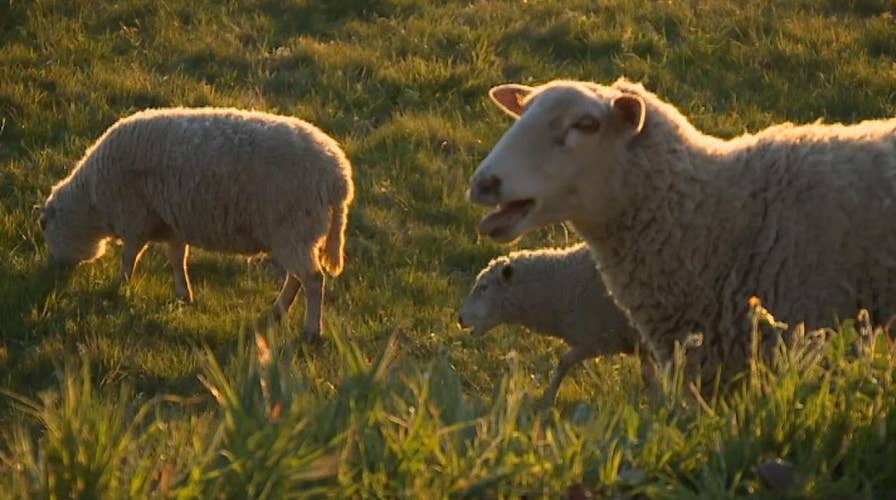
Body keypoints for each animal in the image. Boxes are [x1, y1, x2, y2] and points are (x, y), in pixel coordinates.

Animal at [40, 107, 354, 342]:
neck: (92, 202)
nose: (53, 270)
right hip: (296, 234)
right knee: (297, 277)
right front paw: (184, 295)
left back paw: (312, 330)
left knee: (312, 280)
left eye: (47, 229)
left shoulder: (136, 219)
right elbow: (177, 259)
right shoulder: (172, 223)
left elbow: (130, 256)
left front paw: (121, 286)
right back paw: (277, 311)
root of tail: (338, 177)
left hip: (293, 229)